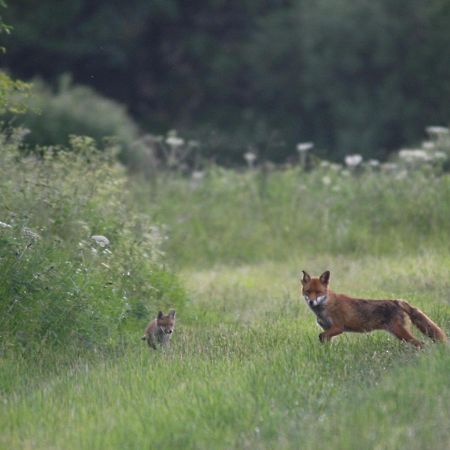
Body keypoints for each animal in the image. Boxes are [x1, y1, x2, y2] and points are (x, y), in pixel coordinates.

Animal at [302, 270, 446, 348]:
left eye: (318, 292)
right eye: (308, 291)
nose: (311, 301)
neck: (326, 305)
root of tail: (397, 301)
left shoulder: (338, 327)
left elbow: (320, 335)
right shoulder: (328, 330)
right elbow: (324, 340)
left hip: (401, 333)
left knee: (421, 344)